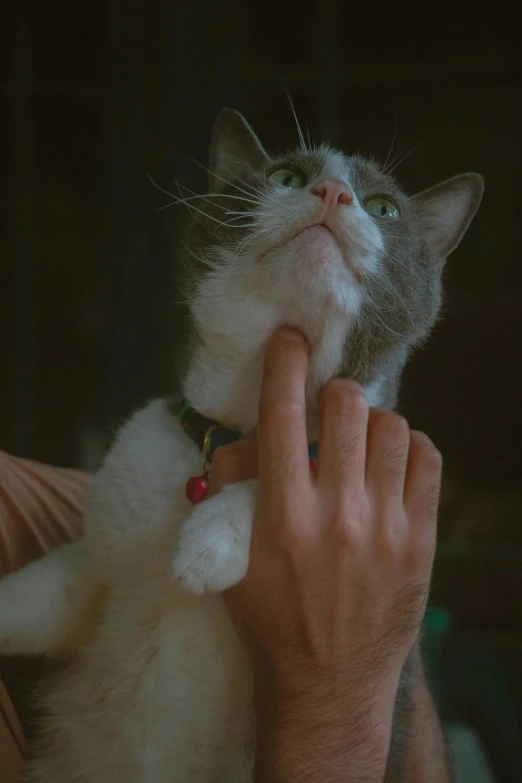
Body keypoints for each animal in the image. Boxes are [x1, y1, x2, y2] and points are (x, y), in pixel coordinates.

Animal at [0, 112, 482, 783]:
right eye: (285, 177)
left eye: (384, 208)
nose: (334, 192)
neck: (237, 426)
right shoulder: (95, 558)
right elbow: (40, 594)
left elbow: (300, 466)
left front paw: (206, 544)